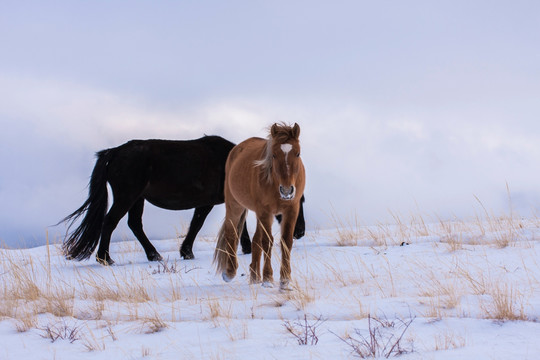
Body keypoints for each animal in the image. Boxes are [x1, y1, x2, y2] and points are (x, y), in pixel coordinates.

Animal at [59, 136, 306, 266]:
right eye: (298, 199)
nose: (299, 232)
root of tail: (114, 152)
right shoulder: (206, 204)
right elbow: (197, 225)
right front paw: (187, 251)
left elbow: (238, 224)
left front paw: (243, 247)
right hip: (126, 196)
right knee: (110, 222)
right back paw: (105, 258)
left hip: (137, 199)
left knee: (134, 225)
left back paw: (153, 255)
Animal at [212, 123, 304, 290]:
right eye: (273, 155)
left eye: (298, 153)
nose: (287, 191)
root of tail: (236, 149)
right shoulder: (265, 211)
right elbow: (267, 242)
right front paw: (268, 278)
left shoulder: (291, 210)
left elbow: (286, 242)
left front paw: (285, 279)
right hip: (235, 205)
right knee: (231, 233)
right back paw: (229, 273)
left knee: (255, 240)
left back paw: (255, 276)